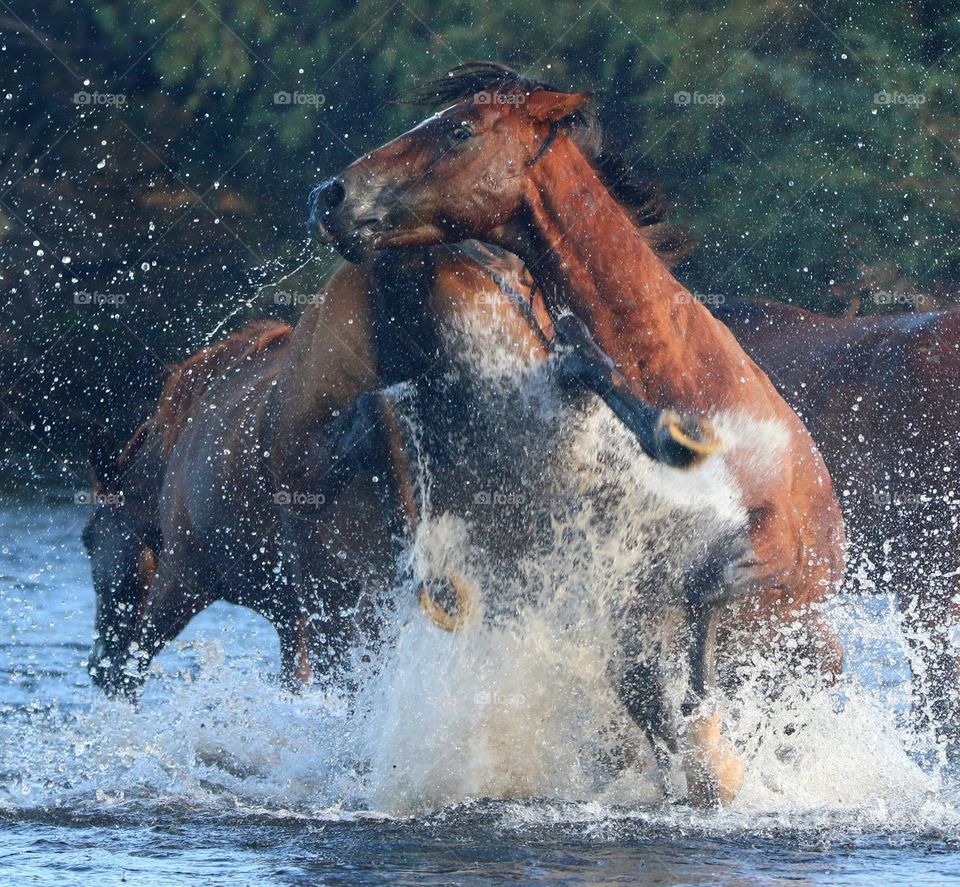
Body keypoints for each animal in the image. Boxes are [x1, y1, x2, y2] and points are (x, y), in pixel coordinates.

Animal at [308, 61, 848, 805]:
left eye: (460, 128)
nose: (329, 194)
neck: (676, 369)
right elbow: (641, 680)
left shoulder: (773, 547)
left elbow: (702, 593)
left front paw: (716, 755)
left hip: (812, 638)